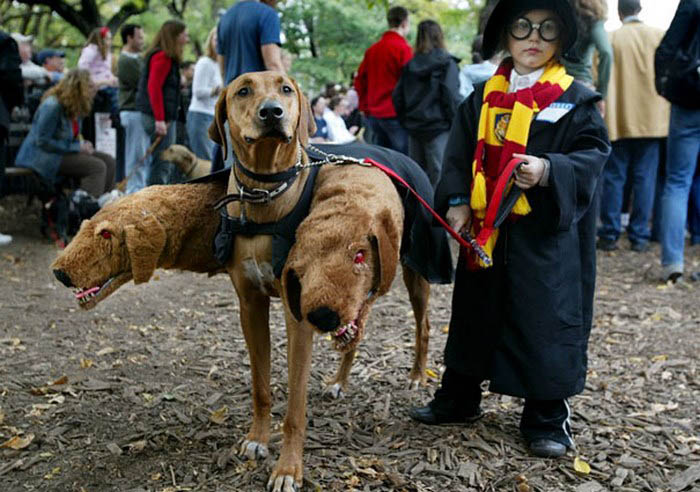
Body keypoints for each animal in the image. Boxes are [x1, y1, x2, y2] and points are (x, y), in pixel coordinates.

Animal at [205, 70, 432, 492]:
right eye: (243, 90)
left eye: (285, 89)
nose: (272, 112)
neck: (265, 195)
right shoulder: (250, 305)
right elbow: (261, 385)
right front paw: (257, 439)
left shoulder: (299, 314)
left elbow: (295, 406)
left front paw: (287, 469)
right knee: (356, 327)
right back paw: (340, 379)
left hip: (416, 269)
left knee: (422, 324)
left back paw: (415, 375)